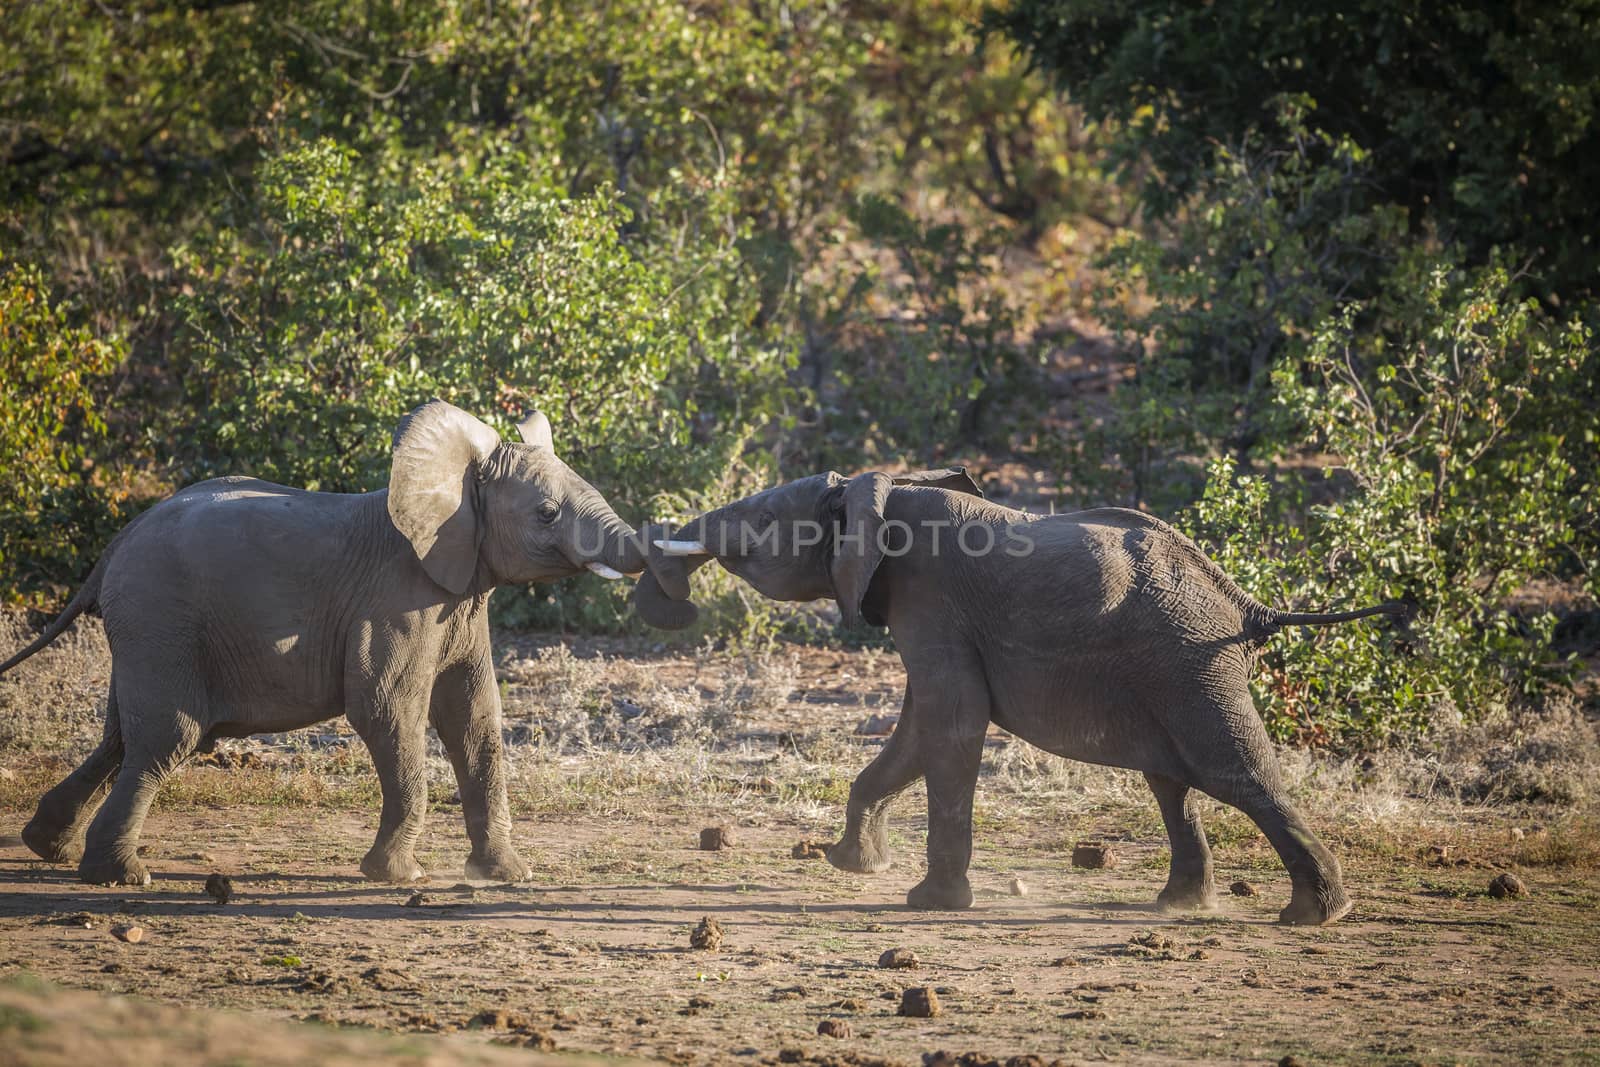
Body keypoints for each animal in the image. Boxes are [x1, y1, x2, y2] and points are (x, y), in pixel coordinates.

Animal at [3, 398, 649, 883]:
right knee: (167, 737)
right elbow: (388, 710)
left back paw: (52, 849)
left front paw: (508, 876)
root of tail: (119, 540)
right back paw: (121, 876)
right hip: (161, 617)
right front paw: (400, 877)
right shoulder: (395, 600)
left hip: (148, 628)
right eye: (547, 514)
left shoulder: (459, 600)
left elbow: (475, 719)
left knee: (120, 736)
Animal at [630, 470, 1408, 927]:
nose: (668, 591)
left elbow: (950, 726)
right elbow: (917, 730)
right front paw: (852, 864)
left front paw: (929, 903)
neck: (879, 488)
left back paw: (1315, 916)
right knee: (1172, 781)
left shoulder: (930, 596)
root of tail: (1245, 603)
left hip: (1190, 665)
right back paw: (1179, 904)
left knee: (1234, 773)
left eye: (762, 516)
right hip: (1174, 669)